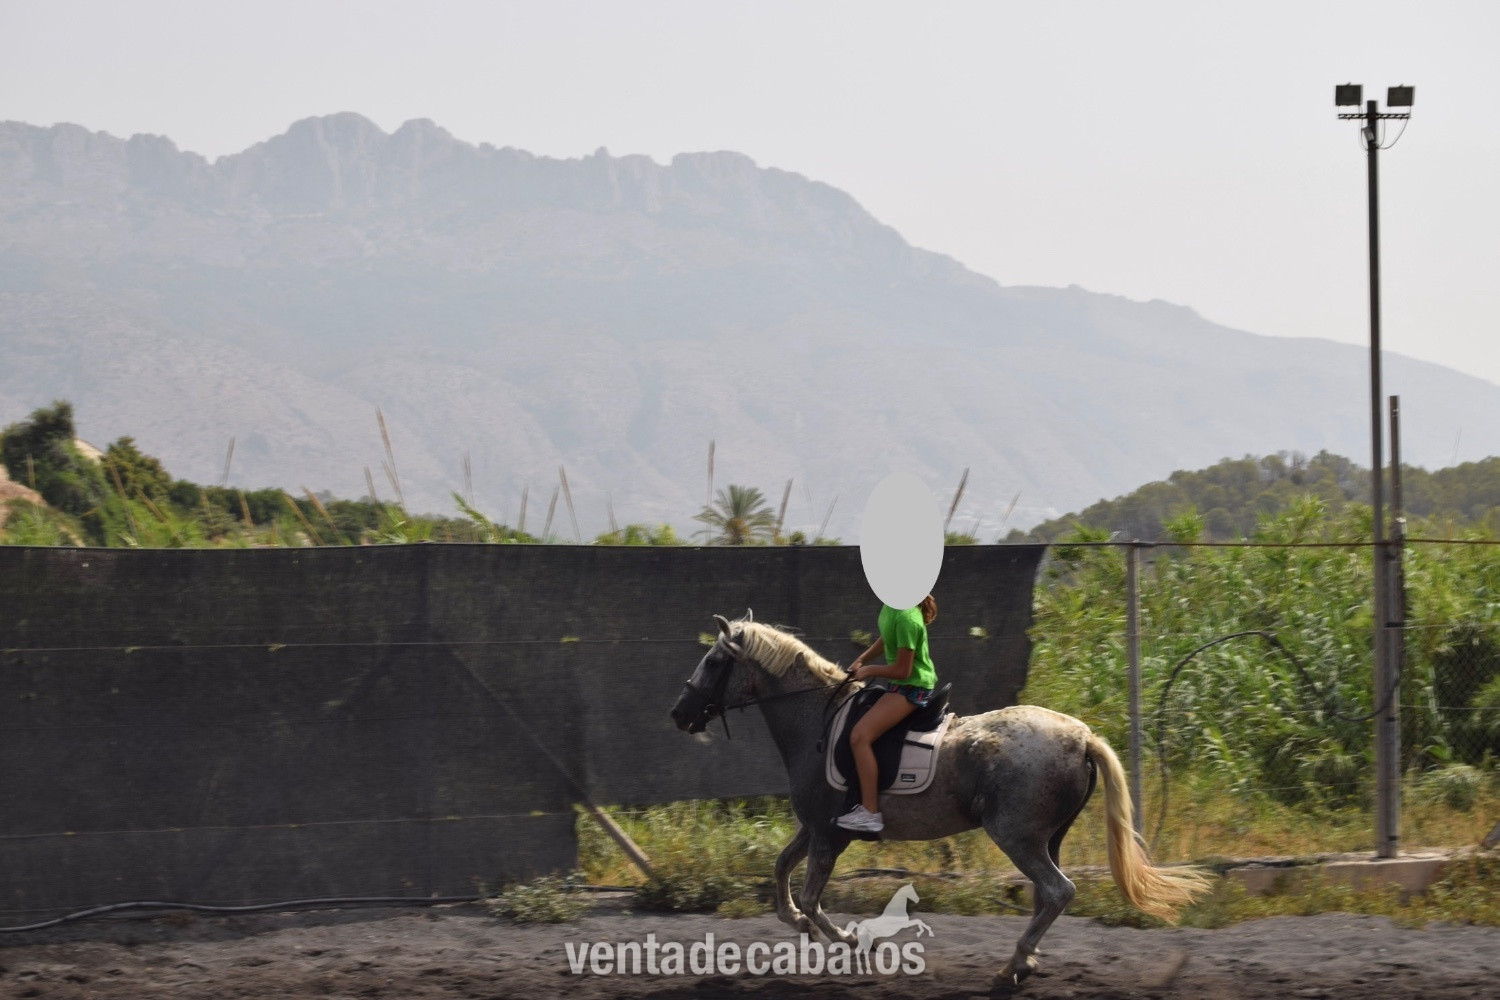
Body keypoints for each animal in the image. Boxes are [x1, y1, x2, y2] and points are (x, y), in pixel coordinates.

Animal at [670, 613, 1211, 987]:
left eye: (714, 662)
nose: (680, 714)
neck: (815, 723)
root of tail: (1083, 737)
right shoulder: (816, 828)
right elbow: (781, 869)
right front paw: (799, 924)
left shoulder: (828, 833)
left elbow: (809, 893)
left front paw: (848, 939)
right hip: (1048, 836)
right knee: (1047, 895)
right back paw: (1025, 962)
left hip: (1014, 834)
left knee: (1058, 891)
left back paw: (1012, 965)